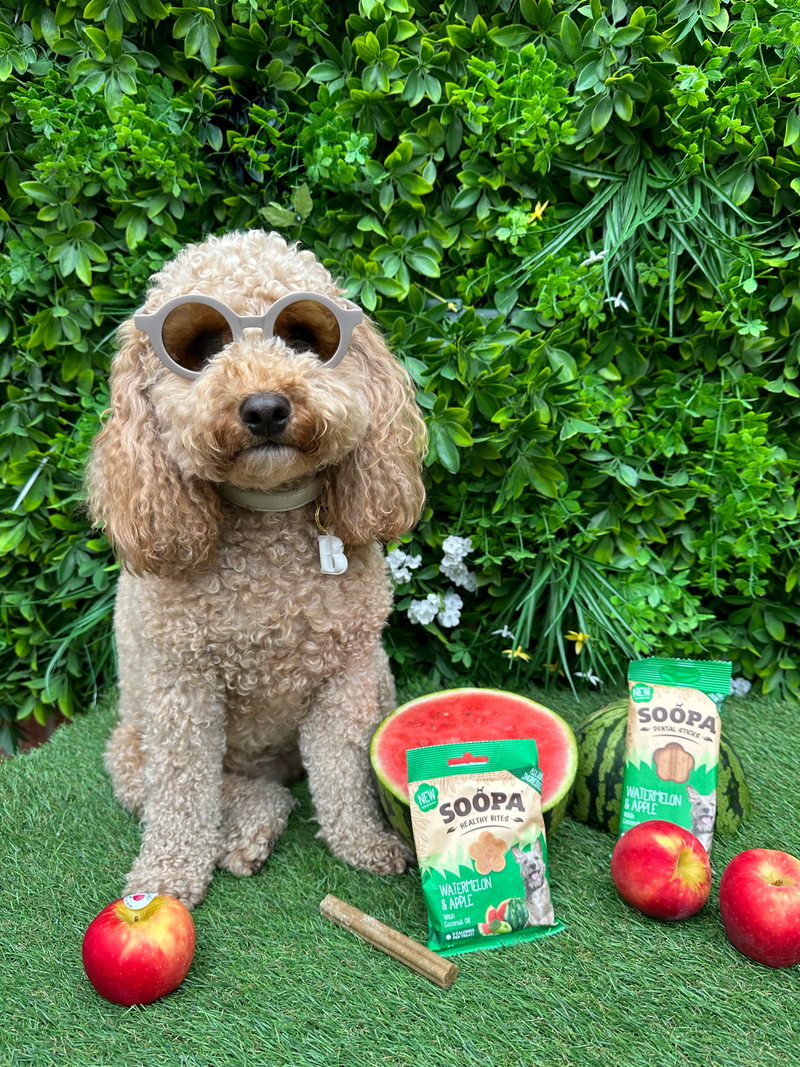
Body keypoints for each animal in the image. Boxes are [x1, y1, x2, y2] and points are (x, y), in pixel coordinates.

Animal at [86, 229, 433, 904]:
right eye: (201, 348)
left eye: (301, 336)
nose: (266, 407)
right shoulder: (182, 690)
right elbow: (182, 798)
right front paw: (163, 881)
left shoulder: (345, 678)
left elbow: (343, 778)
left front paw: (365, 845)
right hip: (131, 748)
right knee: (228, 794)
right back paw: (248, 832)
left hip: (376, 677)